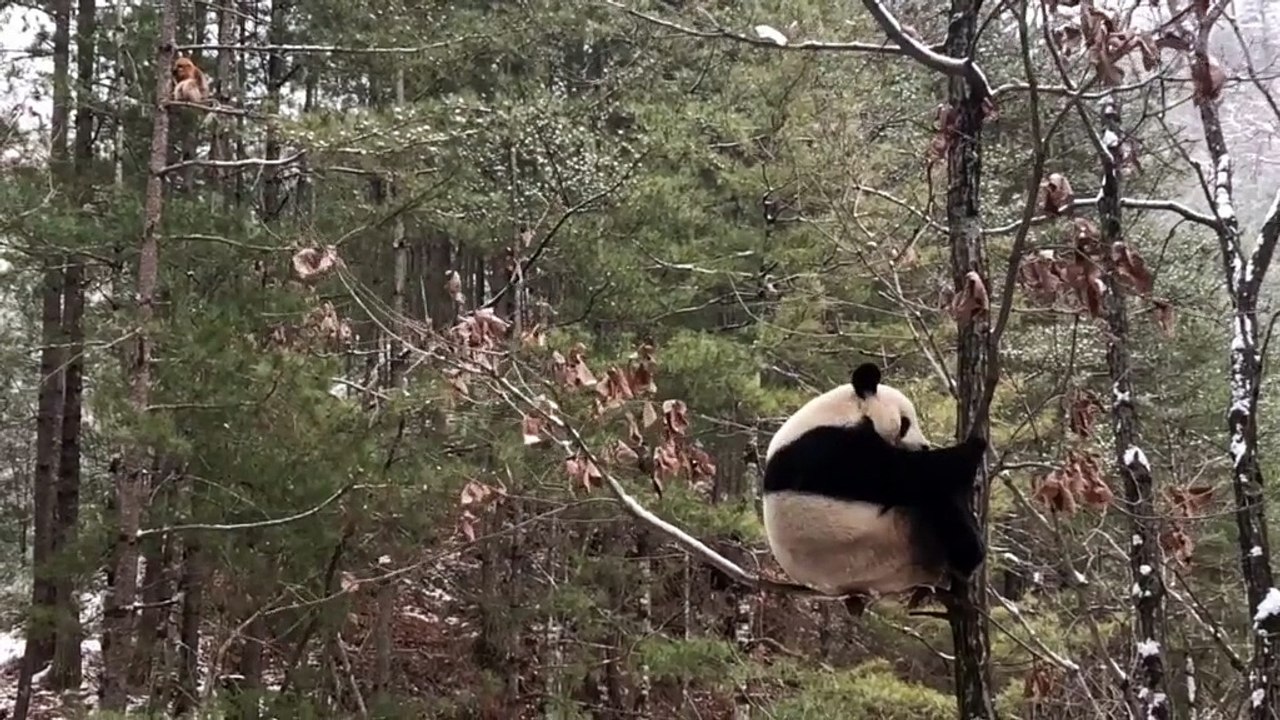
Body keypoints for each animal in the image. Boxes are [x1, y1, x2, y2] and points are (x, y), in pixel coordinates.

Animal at [761, 362, 987, 600]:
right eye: (905, 423)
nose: (924, 446)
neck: (841, 411)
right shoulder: (831, 449)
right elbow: (904, 475)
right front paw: (973, 447)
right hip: (889, 540)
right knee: (934, 500)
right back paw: (970, 555)